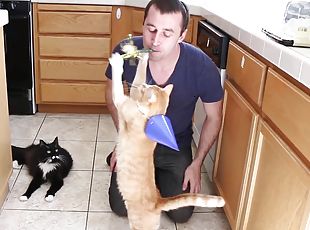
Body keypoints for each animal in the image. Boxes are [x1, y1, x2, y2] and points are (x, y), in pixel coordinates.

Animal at [109, 52, 225, 230]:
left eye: (147, 88)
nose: (144, 85)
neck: (151, 117)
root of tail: (158, 201)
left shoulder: (122, 101)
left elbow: (117, 83)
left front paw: (117, 62)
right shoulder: (133, 96)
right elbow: (138, 75)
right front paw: (144, 57)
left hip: (139, 224)